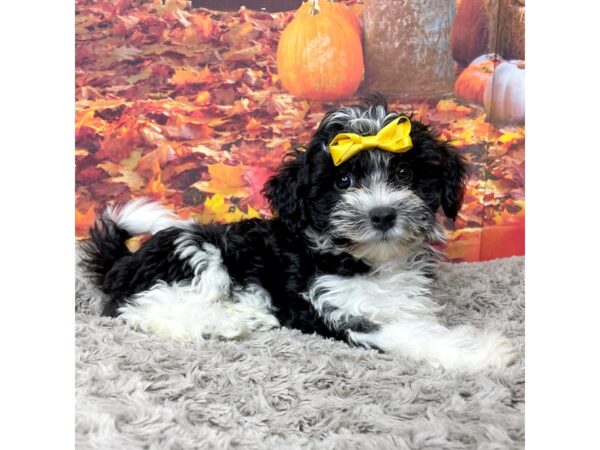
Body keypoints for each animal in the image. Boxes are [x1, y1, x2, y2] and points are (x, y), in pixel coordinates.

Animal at [78, 100, 516, 370]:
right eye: (343, 181)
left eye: (405, 174)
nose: (383, 215)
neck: (367, 260)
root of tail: (121, 263)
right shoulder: (337, 311)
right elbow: (410, 335)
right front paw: (481, 351)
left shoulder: (403, 302)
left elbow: (418, 322)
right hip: (199, 251)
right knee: (140, 308)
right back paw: (219, 323)